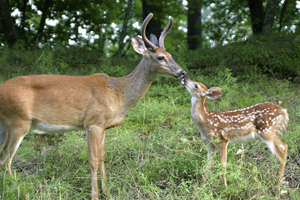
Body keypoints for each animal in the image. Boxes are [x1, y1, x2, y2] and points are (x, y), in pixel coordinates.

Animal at [0, 13, 186, 199]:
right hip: (18, 120)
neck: (119, 94)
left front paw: (107, 191)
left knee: (2, 156)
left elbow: (103, 156)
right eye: (160, 57)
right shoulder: (93, 122)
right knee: (6, 159)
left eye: (170, 54)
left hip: (6, 125)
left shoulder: (103, 126)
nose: (182, 72)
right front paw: (95, 195)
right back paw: (18, 189)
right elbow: (93, 160)